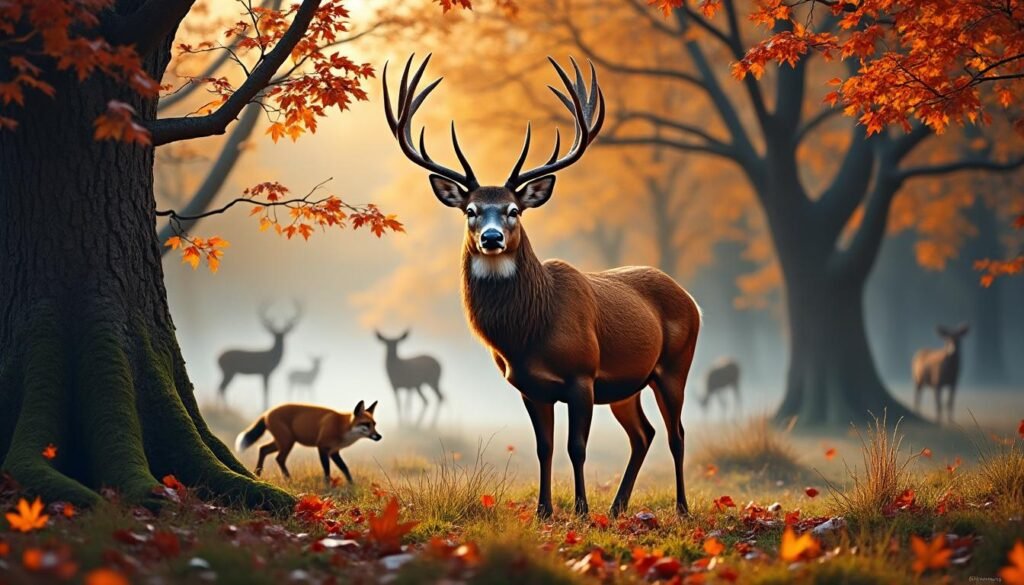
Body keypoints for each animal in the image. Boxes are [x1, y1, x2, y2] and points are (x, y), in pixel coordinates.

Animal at [383, 55, 701, 518]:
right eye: (471, 210)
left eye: (514, 210)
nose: (491, 238)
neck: (529, 330)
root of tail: (690, 299)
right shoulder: (531, 386)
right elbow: (544, 448)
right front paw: (544, 510)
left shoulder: (582, 374)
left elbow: (576, 447)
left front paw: (581, 510)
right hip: (627, 385)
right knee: (644, 434)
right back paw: (617, 507)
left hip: (675, 364)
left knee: (676, 433)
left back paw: (679, 507)